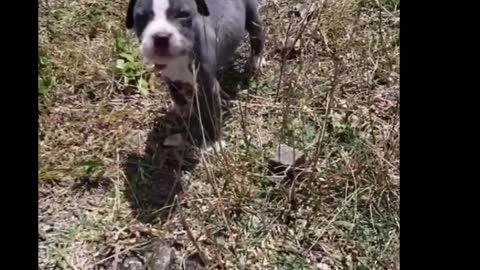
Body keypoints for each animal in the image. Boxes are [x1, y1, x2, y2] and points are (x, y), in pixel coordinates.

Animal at [125, 0, 264, 144]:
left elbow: (210, 115)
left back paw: (256, 61)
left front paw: (214, 143)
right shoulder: (169, 76)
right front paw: (183, 109)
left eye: (182, 14)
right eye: (141, 17)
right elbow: (175, 92)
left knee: (257, 35)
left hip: (252, 16)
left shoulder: (207, 87)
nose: (161, 37)